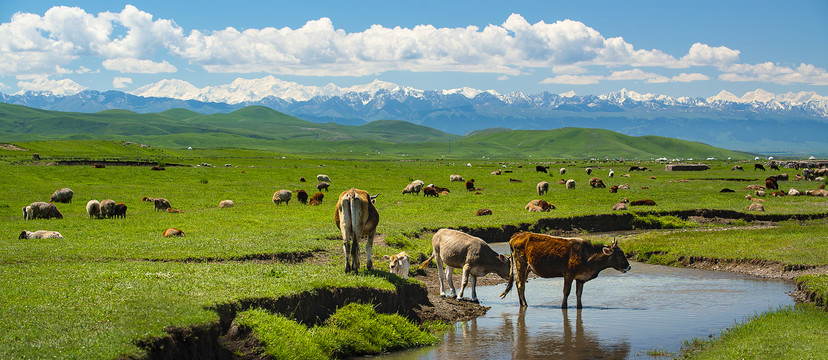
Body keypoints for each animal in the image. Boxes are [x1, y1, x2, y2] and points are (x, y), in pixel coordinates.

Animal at [502, 232, 632, 308]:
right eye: (619, 254)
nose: (628, 266)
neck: (587, 256)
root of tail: (516, 235)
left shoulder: (580, 278)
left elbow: (579, 293)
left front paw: (580, 307)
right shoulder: (568, 274)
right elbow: (566, 291)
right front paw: (564, 306)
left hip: (527, 268)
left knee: (519, 283)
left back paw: (521, 302)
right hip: (521, 264)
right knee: (520, 284)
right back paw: (524, 304)